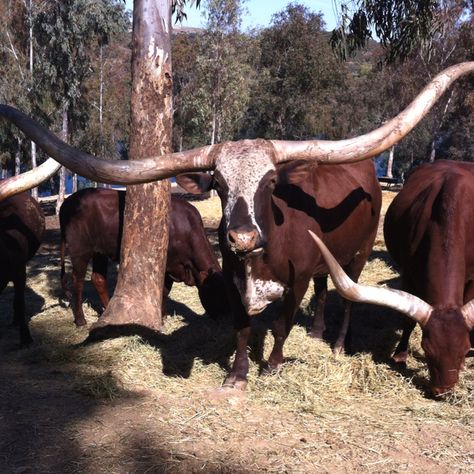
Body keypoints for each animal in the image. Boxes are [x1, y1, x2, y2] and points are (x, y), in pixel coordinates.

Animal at [59, 188, 228, 326]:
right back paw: (81, 320)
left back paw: (108, 312)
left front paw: (163, 315)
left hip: (99, 252)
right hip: (80, 250)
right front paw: (160, 318)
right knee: (77, 281)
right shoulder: (168, 264)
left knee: (98, 278)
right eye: (215, 293)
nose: (223, 319)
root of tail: (67, 202)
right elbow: (164, 290)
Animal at [308, 160, 474, 396]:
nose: (443, 391)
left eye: (465, 348)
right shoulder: (409, 273)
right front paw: (400, 356)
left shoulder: (470, 278)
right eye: (426, 348)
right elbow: (408, 321)